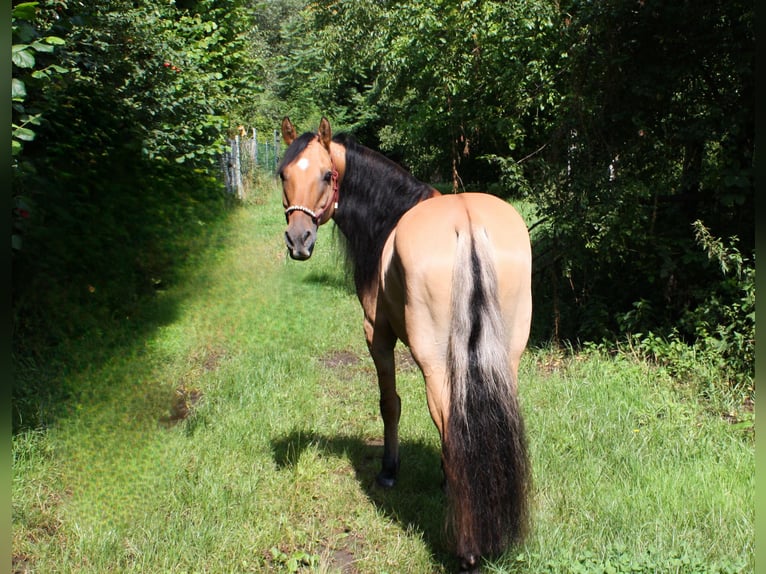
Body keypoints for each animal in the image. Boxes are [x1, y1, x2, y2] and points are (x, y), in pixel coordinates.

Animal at [278, 116, 536, 572]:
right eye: (283, 174)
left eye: (326, 175)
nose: (299, 239)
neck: (390, 216)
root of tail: (468, 225)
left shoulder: (376, 335)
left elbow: (390, 404)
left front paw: (389, 470)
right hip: (507, 357)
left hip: (434, 361)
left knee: (449, 418)